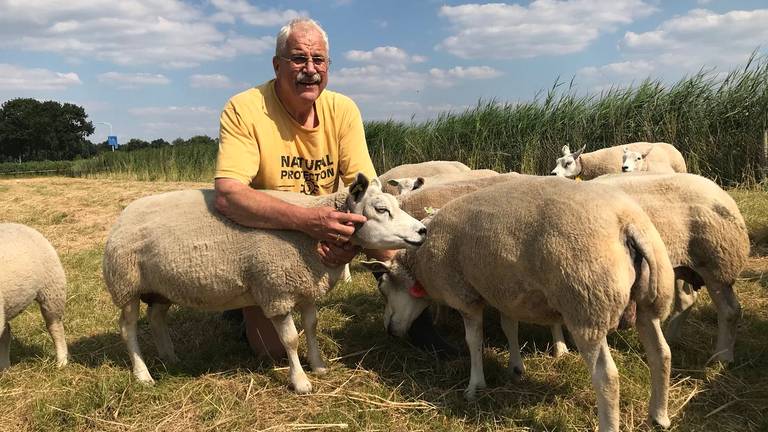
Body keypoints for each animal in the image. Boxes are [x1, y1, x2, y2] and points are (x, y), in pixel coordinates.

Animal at [0, 223, 68, 368]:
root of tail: (20, 225)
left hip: (52, 289)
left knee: (55, 327)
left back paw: (61, 361)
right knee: (6, 332)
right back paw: (5, 366)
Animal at [102, 173, 426, 392]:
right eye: (381, 210)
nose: (422, 231)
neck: (309, 241)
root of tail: (123, 215)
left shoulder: (306, 287)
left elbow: (311, 327)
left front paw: (319, 366)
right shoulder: (276, 290)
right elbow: (290, 339)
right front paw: (301, 381)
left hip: (161, 286)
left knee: (156, 318)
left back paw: (171, 358)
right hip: (126, 284)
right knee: (128, 328)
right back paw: (143, 375)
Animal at [364, 176, 672, 432]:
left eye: (383, 287)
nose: (389, 330)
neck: (422, 262)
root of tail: (627, 222)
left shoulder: (465, 295)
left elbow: (474, 342)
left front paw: (475, 387)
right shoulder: (504, 291)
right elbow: (508, 326)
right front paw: (516, 368)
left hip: (586, 305)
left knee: (607, 377)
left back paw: (611, 423)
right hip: (649, 300)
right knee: (661, 354)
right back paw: (659, 416)